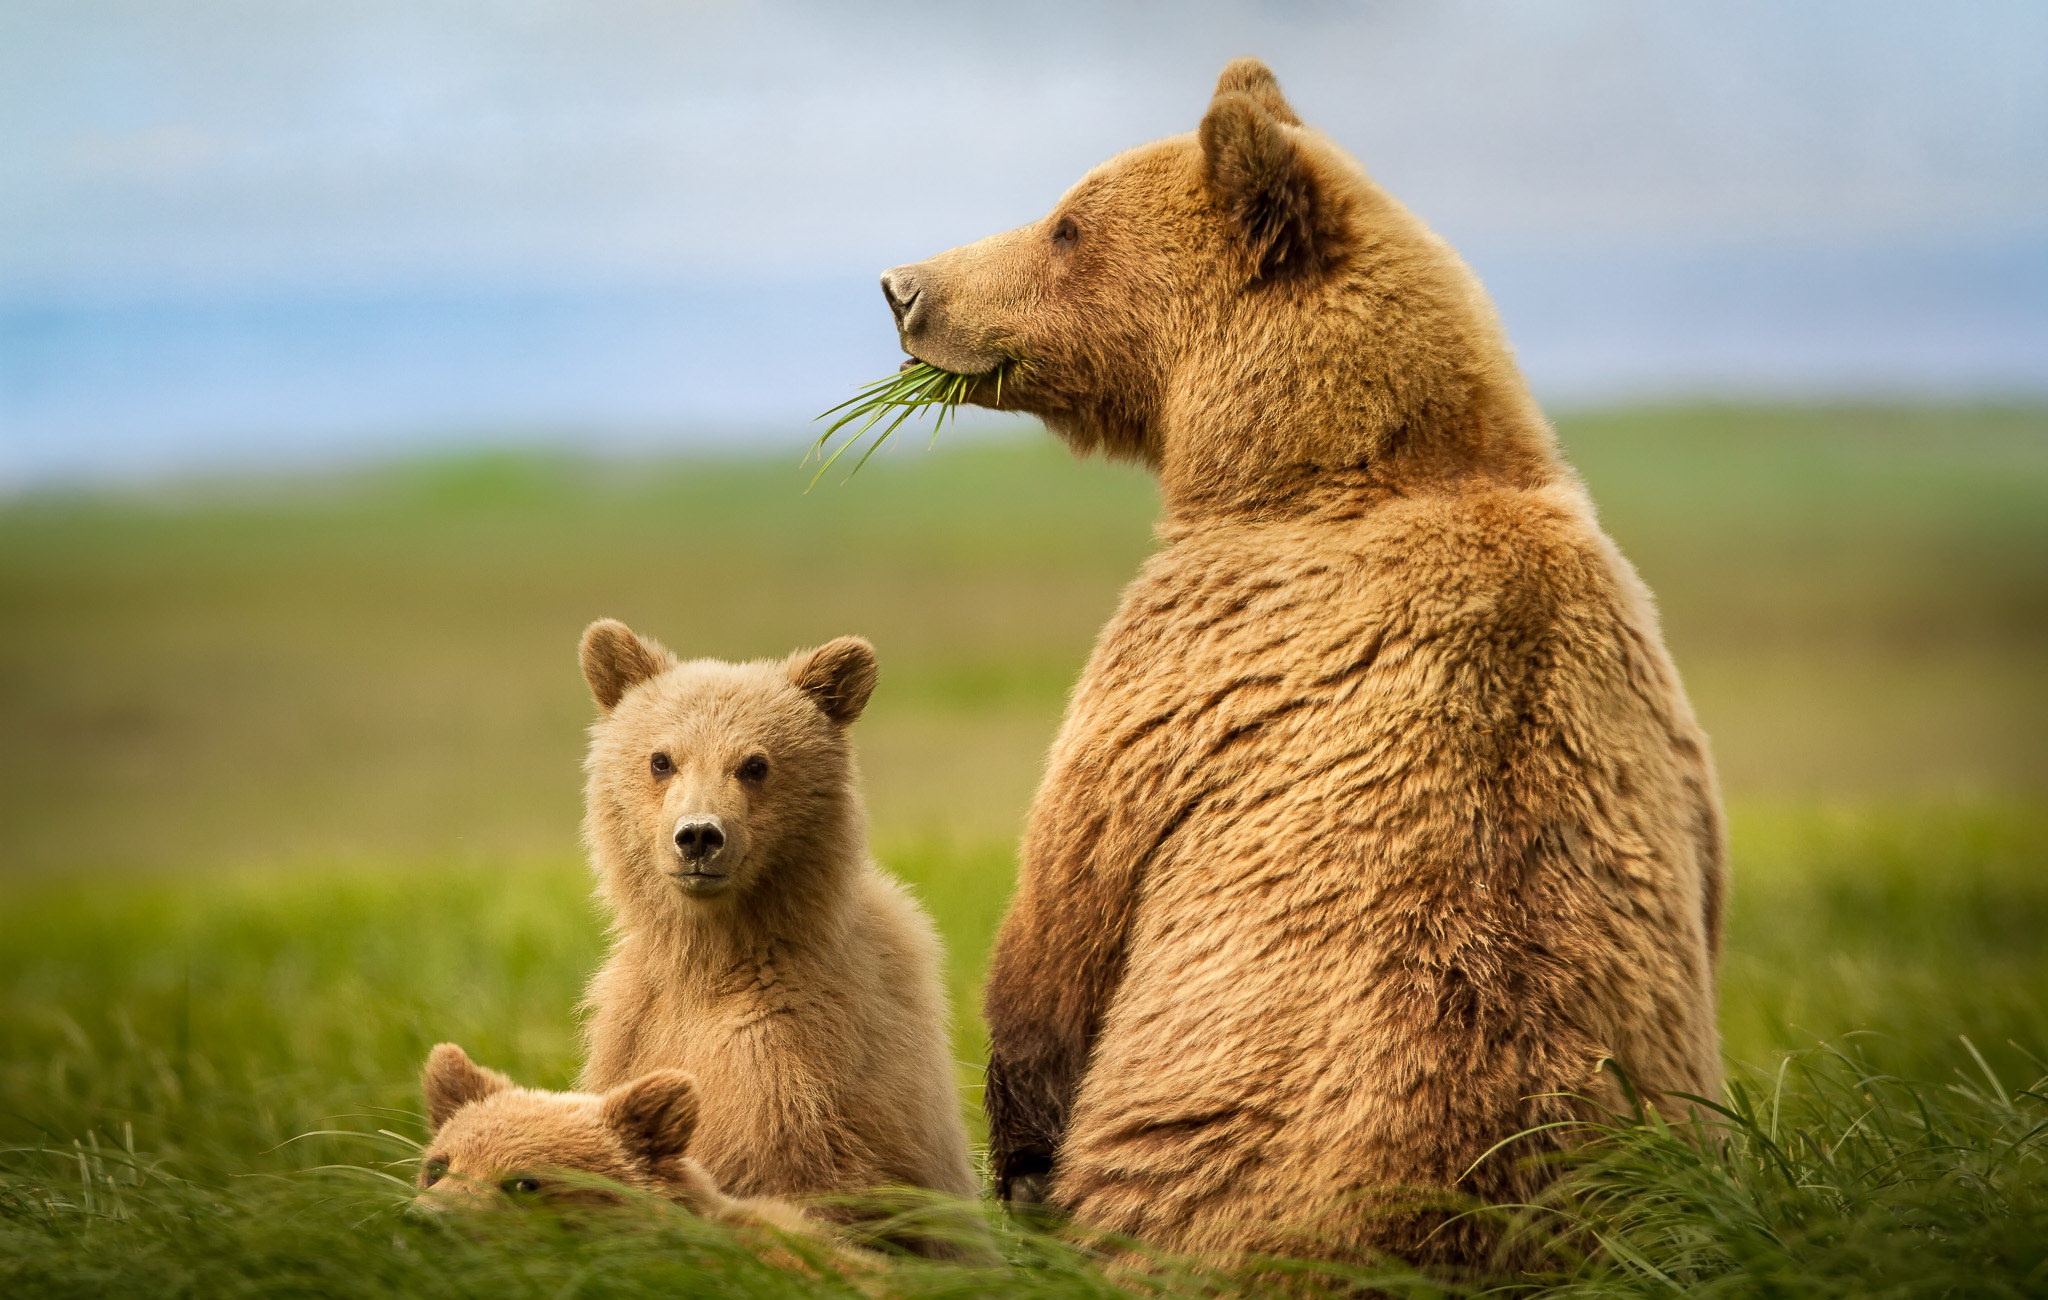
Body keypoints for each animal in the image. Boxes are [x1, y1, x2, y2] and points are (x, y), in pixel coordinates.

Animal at [884, 60, 1728, 1269]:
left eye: (1065, 224)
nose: (902, 288)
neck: (1330, 462)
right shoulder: (1654, 696)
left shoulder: (1190, 659)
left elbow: (1066, 909)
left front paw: (1022, 1155)